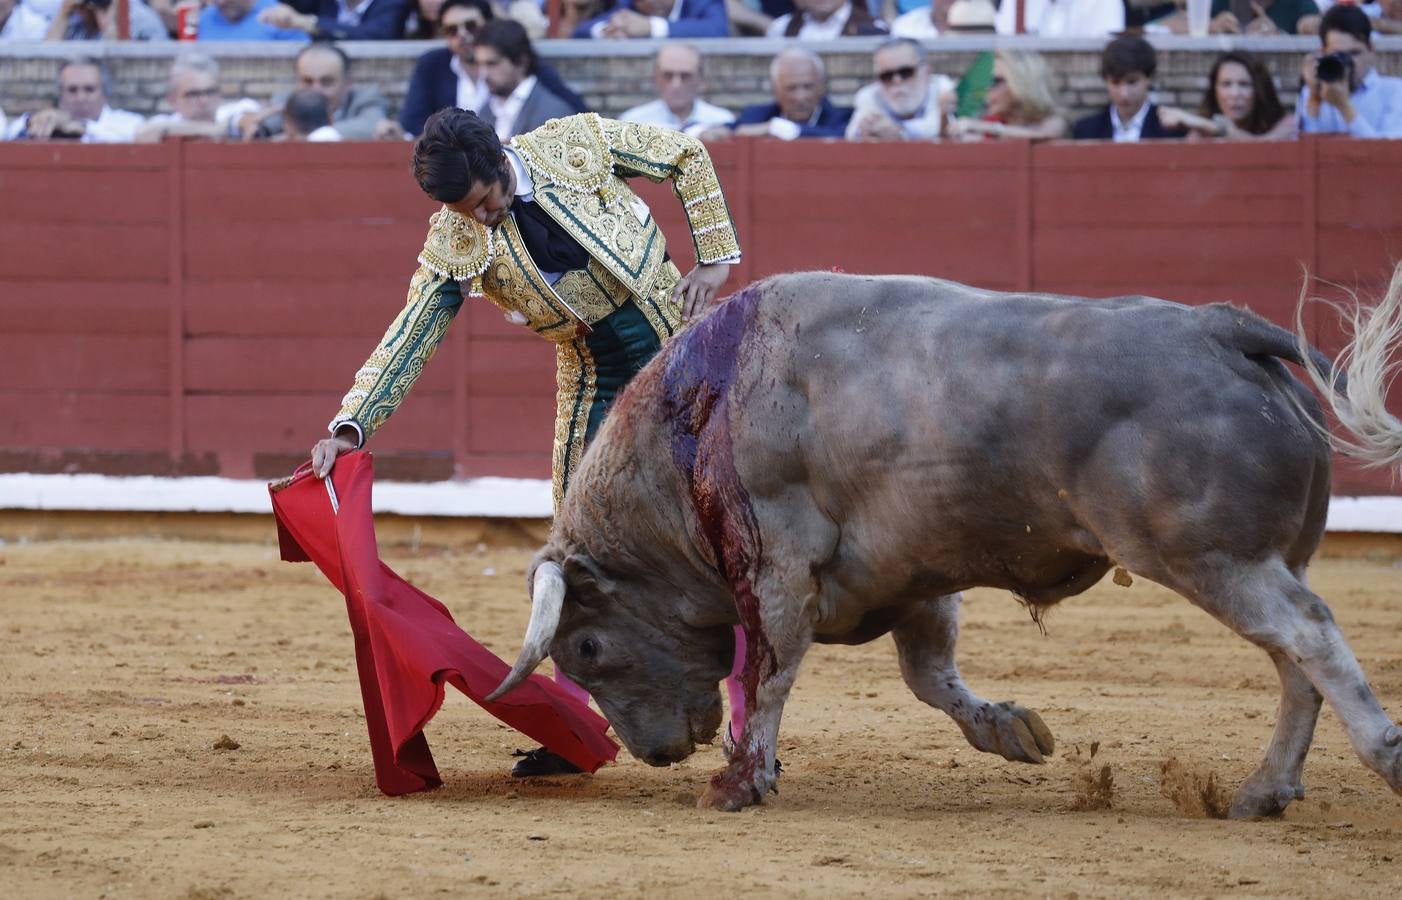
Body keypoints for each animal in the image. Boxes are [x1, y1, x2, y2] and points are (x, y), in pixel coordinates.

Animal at [487, 266, 1402, 813]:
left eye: (589, 648)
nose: (655, 754)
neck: (689, 427)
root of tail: (1222, 327)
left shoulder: (780, 570)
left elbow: (771, 674)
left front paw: (743, 780)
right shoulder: (912, 578)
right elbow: (930, 677)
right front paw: (1011, 731)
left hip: (1213, 559)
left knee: (1309, 637)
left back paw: (1380, 754)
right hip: (1259, 560)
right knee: (1294, 661)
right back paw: (1265, 789)